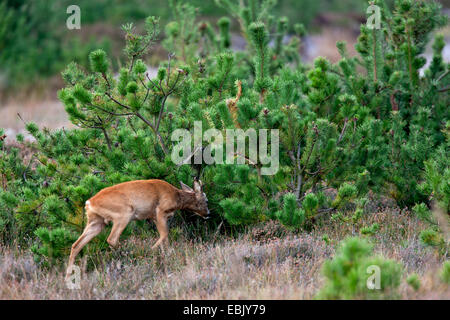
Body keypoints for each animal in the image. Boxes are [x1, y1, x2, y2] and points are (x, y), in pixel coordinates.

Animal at [65, 179, 209, 278]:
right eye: (206, 200)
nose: (208, 214)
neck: (176, 196)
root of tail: (89, 203)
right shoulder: (160, 211)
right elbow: (164, 235)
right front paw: (151, 250)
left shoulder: (155, 216)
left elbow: (166, 238)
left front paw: (168, 255)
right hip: (124, 213)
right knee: (112, 239)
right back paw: (128, 256)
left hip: (96, 222)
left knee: (76, 245)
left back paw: (69, 276)